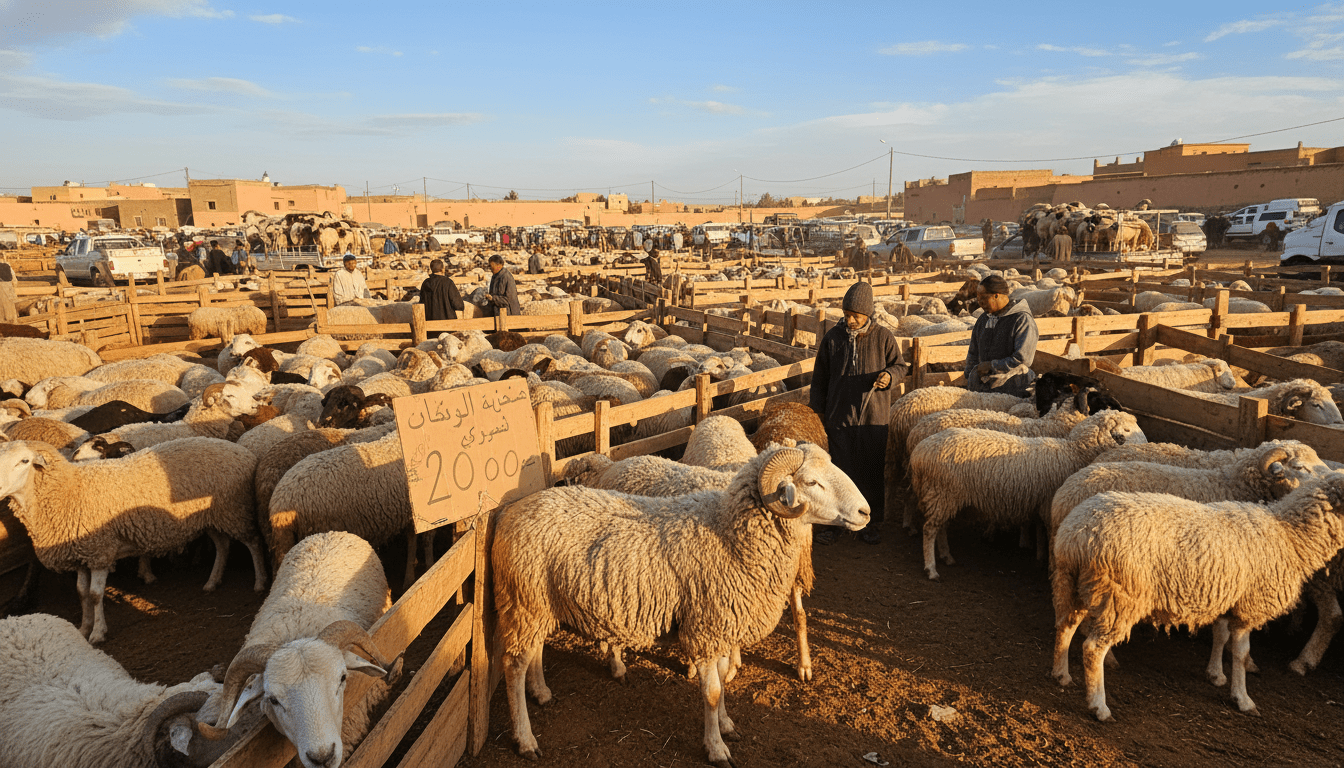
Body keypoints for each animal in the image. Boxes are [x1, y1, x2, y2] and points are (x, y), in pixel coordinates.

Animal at [0, 437, 266, 644]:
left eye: (24, 461)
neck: (68, 490)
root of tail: (243, 451)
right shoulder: (80, 554)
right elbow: (81, 593)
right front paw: (83, 628)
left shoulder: (100, 551)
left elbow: (95, 595)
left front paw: (98, 633)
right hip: (211, 516)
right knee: (223, 545)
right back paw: (212, 581)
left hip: (234, 508)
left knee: (253, 542)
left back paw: (260, 583)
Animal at [493, 443, 871, 765]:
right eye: (811, 481)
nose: (865, 512)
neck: (727, 533)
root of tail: (512, 512)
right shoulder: (706, 630)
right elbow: (713, 691)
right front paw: (716, 748)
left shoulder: (721, 628)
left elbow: (722, 681)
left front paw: (727, 725)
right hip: (524, 601)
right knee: (513, 666)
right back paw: (526, 740)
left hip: (539, 602)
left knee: (534, 649)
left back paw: (541, 691)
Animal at [910, 410, 1146, 580]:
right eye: (1126, 429)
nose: (1146, 445)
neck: (1074, 451)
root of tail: (919, 453)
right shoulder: (1048, 504)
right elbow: (1048, 535)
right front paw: (1047, 564)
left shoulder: (1040, 502)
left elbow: (1040, 531)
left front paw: (1039, 556)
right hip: (942, 492)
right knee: (929, 529)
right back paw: (931, 568)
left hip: (943, 496)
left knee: (940, 526)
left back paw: (947, 556)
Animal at [1050, 476, 1344, 721]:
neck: (1290, 536)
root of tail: (1076, 536)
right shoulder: (1248, 607)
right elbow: (1240, 653)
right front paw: (1243, 698)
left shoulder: (1227, 598)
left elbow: (1220, 636)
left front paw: (1216, 675)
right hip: (1120, 596)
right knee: (1092, 649)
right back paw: (1099, 706)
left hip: (1072, 585)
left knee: (1065, 626)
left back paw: (1061, 675)